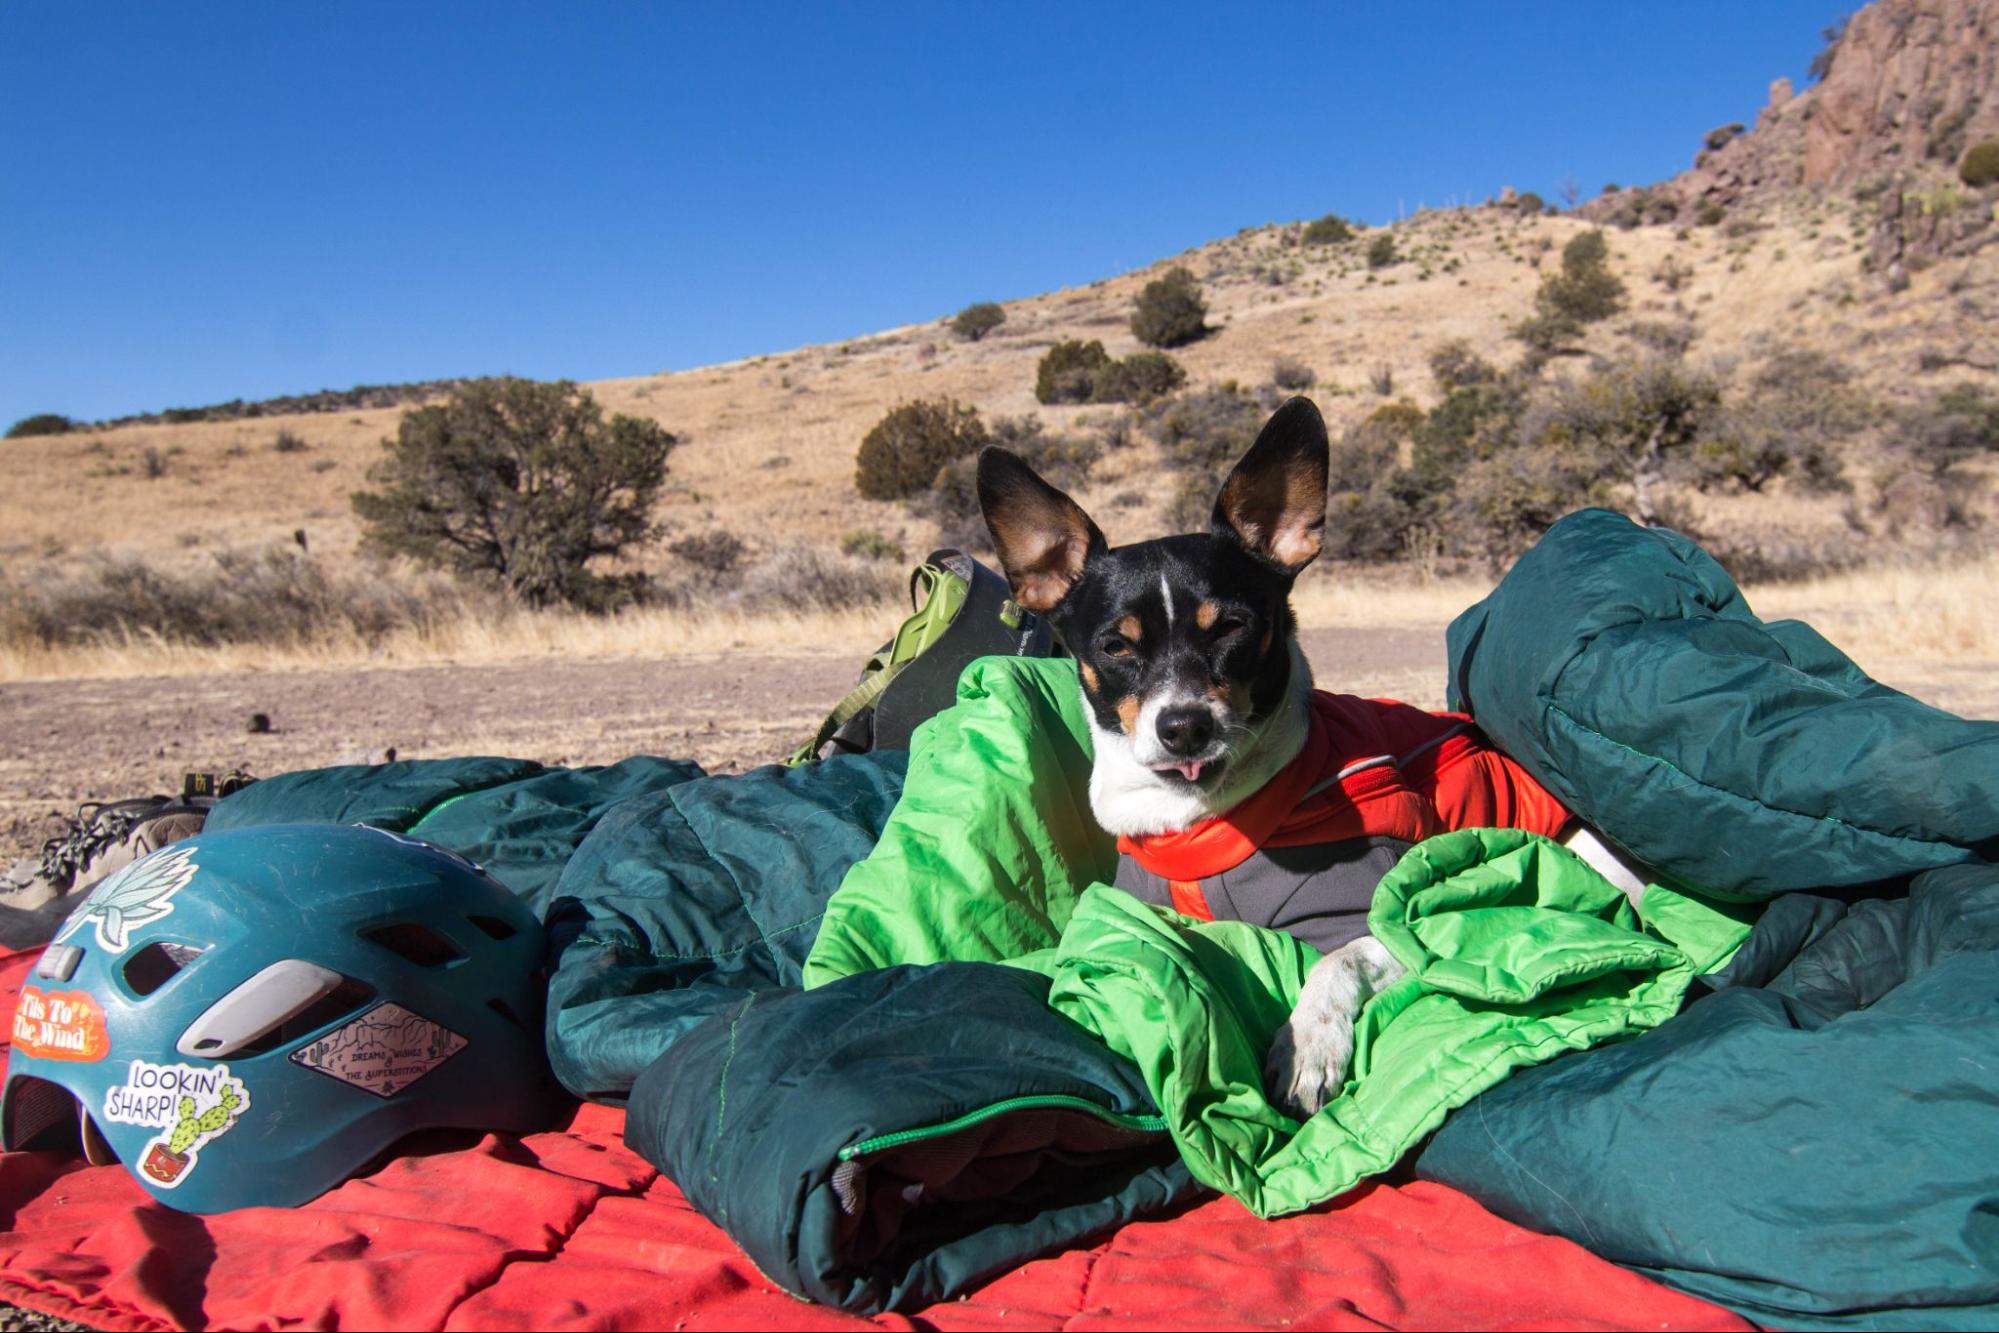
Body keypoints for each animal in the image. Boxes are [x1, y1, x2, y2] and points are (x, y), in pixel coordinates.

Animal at [975, 393, 1599, 1119]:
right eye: (1115, 646)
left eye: (1231, 628)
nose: (1184, 726)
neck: (1199, 816)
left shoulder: (1387, 917)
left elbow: (1334, 963)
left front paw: (1306, 1047)